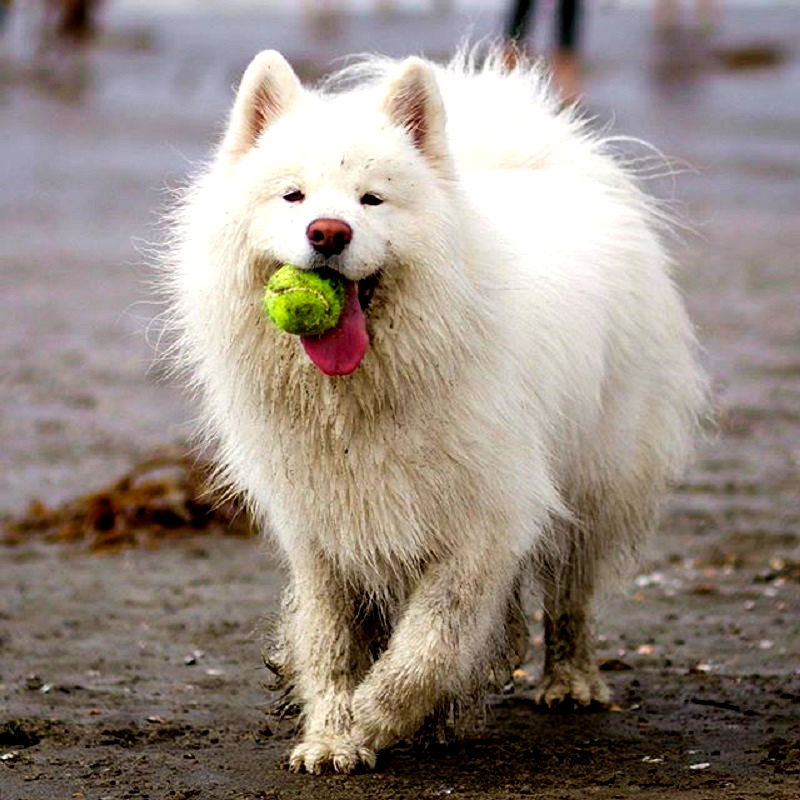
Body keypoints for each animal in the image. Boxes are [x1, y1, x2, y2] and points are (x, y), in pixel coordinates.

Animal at [164, 50, 708, 776]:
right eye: (293, 196)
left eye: (372, 199)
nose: (328, 233)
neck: (356, 399)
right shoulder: (321, 529)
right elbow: (332, 642)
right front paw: (332, 735)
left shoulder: (484, 523)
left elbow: (431, 640)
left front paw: (376, 715)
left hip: (598, 479)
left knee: (571, 593)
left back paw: (570, 682)